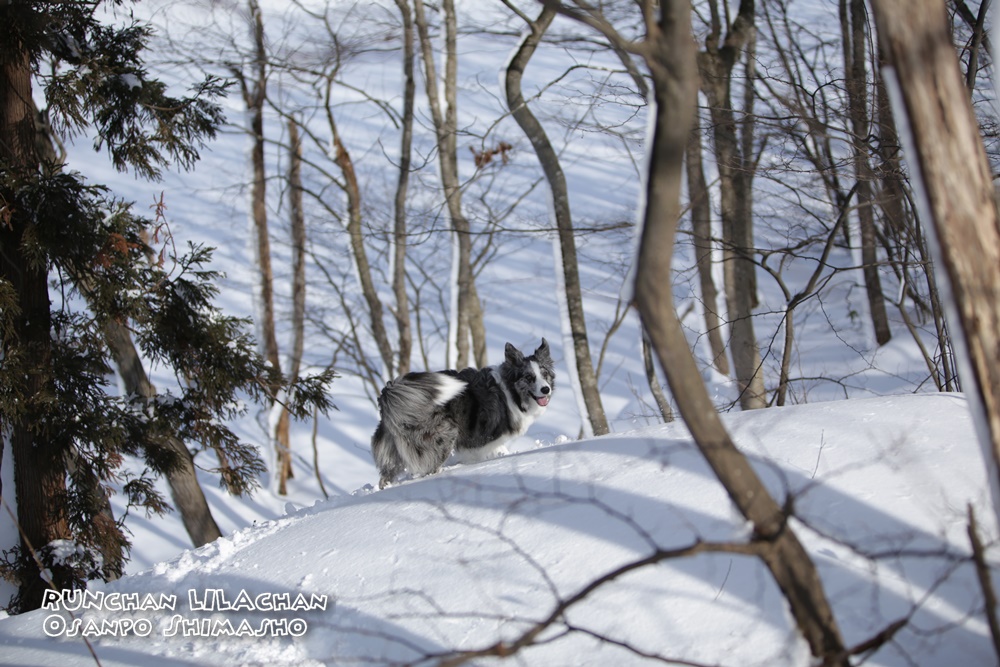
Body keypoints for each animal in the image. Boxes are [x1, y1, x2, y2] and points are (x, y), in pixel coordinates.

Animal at [372, 342, 556, 488]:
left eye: (545, 374)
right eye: (528, 377)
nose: (546, 389)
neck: (511, 392)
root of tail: (389, 394)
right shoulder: (481, 438)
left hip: (394, 454)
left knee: (385, 477)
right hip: (443, 438)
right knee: (429, 470)